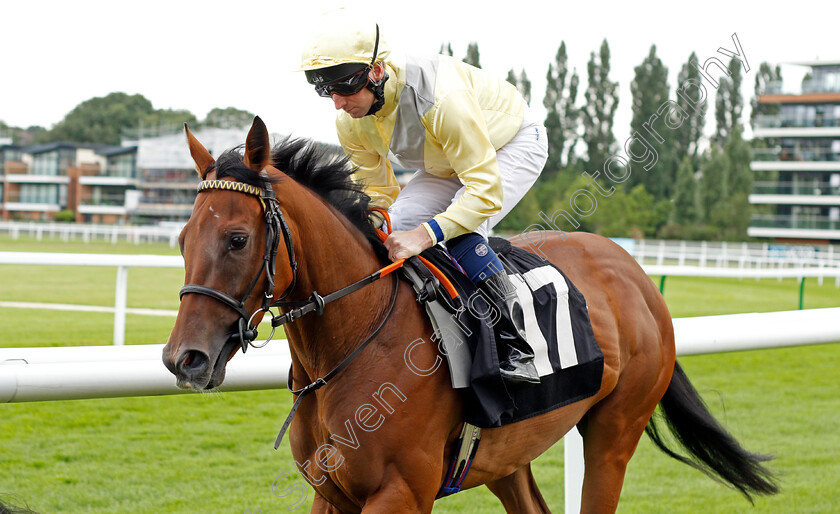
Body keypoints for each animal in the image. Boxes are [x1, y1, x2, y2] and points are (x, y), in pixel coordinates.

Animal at [161, 117, 776, 512]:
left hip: (613, 435)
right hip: (506, 453)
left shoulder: (400, 493)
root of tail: (638, 276)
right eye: (183, 237)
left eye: (237, 239)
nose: (183, 359)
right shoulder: (331, 492)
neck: (355, 342)